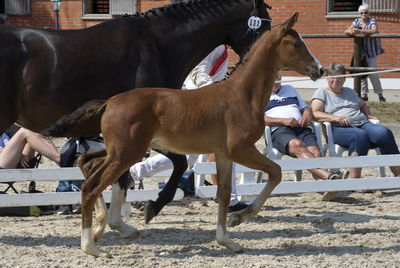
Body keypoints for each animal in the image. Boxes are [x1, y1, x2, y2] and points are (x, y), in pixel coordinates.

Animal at [0, 0, 272, 236]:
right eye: (265, 28)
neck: (159, 46)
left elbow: (122, 176)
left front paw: (118, 222)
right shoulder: (148, 132)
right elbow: (175, 164)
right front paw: (151, 207)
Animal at [45, 13, 324, 258]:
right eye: (296, 43)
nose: (319, 70)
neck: (242, 95)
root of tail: (109, 102)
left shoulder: (224, 154)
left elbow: (224, 193)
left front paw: (227, 240)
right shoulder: (241, 149)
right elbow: (275, 172)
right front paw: (239, 218)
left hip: (121, 151)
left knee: (87, 163)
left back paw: (102, 227)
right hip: (127, 153)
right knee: (91, 186)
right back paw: (91, 247)